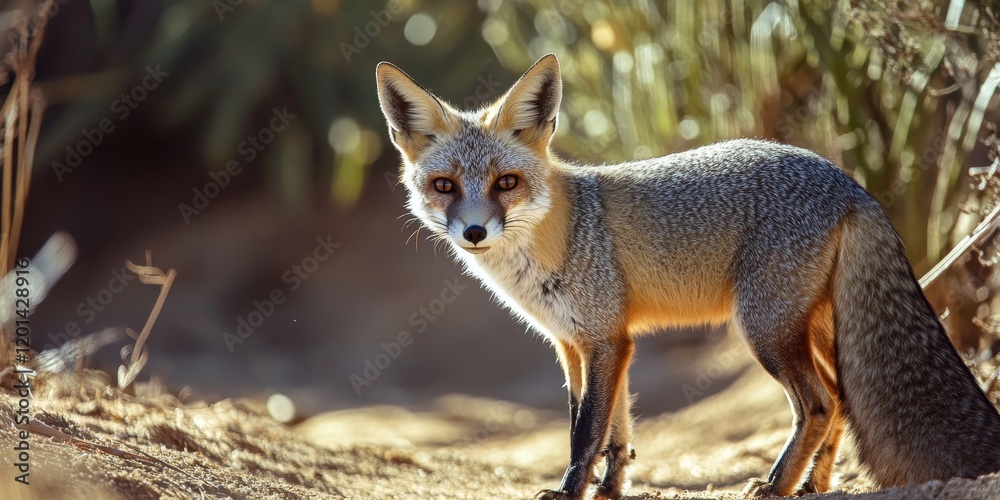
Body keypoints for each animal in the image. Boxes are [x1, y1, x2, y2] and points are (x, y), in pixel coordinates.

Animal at [375, 53, 1000, 499]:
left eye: (506, 183)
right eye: (444, 186)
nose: (474, 231)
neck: (560, 233)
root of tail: (849, 183)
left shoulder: (606, 340)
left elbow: (585, 431)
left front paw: (571, 491)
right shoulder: (579, 345)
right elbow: (614, 430)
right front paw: (610, 489)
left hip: (765, 329)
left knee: (819, 403)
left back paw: (776, 486)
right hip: (813, 329)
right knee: (842, 399)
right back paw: (812, 486)